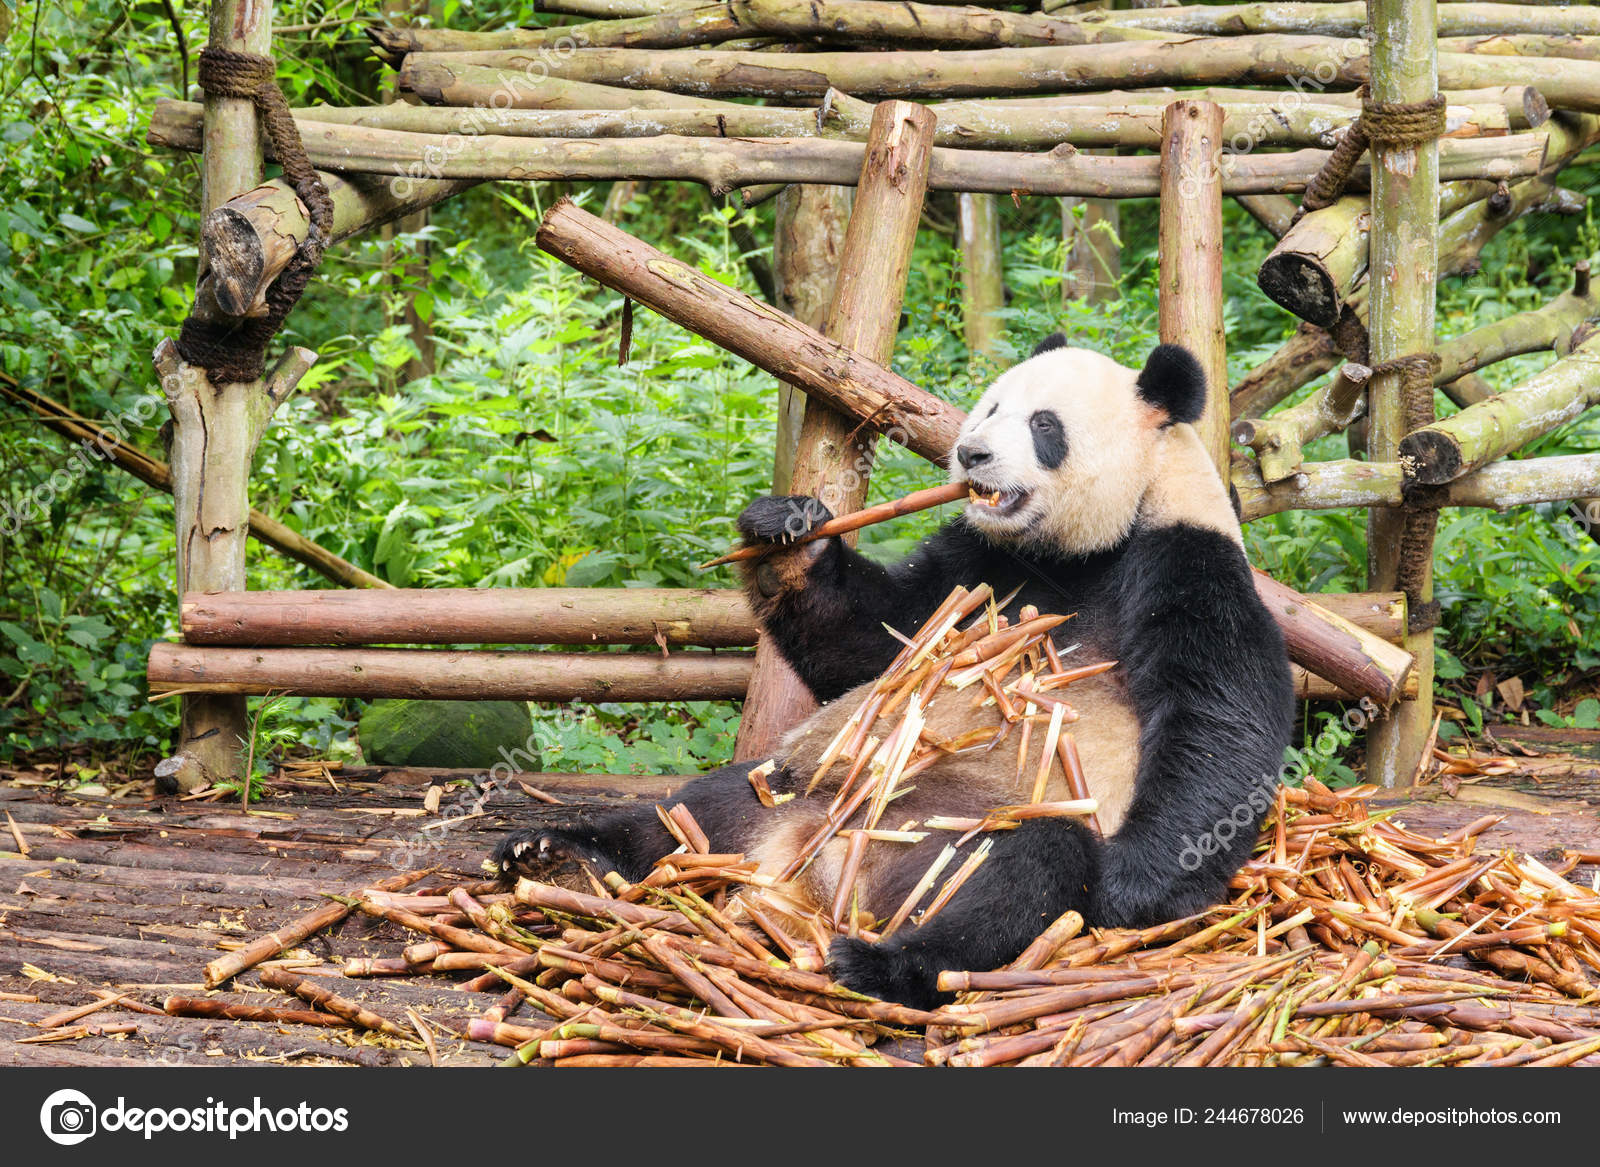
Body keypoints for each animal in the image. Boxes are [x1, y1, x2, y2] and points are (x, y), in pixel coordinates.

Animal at [493, 336, 1294, 1008]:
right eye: (992, 405)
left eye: (1044, 425)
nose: (971, 453)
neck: (1082, 549)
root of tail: (817, 881)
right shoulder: (982, 562)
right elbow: (883, 641)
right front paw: (788, 533)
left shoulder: (1183, 559)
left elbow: (1218, 725)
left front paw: (1131, 884)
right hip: (795, 789)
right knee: (695, 810)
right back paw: (559, 856)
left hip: (951, 836)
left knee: (1022, 871)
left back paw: (884, 962)